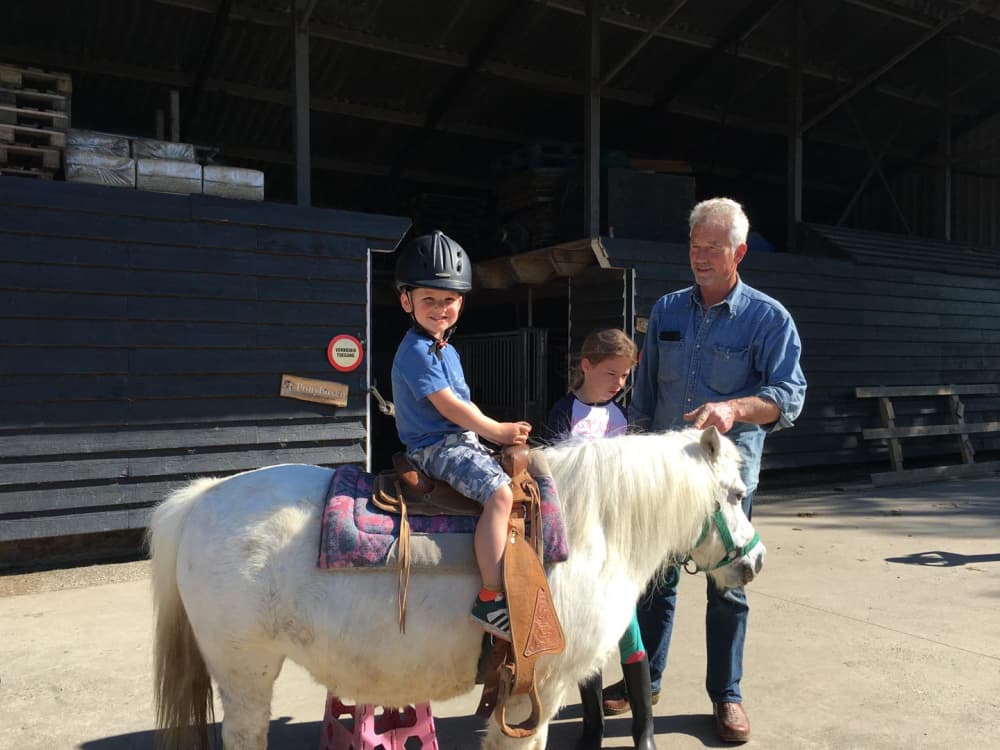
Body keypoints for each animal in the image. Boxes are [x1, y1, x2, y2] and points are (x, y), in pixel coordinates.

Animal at [149, 426, 765, 750]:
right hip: (245, 672)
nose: (755, 562)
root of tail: (201, 497)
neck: (593, 526)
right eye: (736, 494)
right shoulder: (539, 687)